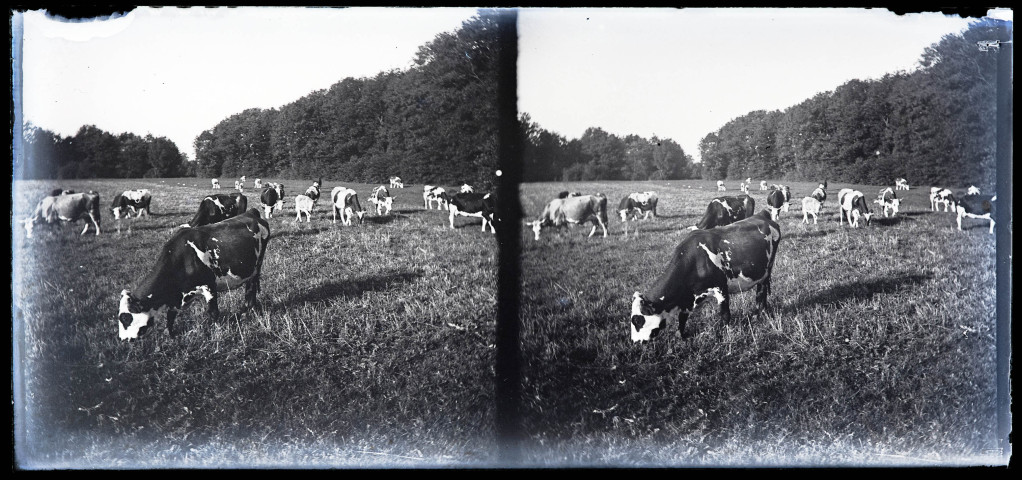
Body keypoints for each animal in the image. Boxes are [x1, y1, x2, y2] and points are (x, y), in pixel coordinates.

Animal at [117, 208, 271, 339]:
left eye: (125, 317)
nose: (122, 339)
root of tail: (251, 212)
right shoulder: (175, 297)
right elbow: (170, 315)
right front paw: (169, 334)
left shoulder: (209, 286)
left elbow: (213, 312)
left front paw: (217, 331)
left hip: (256, 267)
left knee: (250, 290)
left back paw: (247, 312)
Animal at [625, 210, 776, 341]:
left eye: (637, 320)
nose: (634, 342)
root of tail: (761, 214)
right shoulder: (686, 299)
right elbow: (682, 318)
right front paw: (681, 336)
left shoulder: (721, 288)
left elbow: (725, 314)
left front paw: (724, 335)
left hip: (766, 271)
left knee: (761, 294)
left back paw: (758, 315)